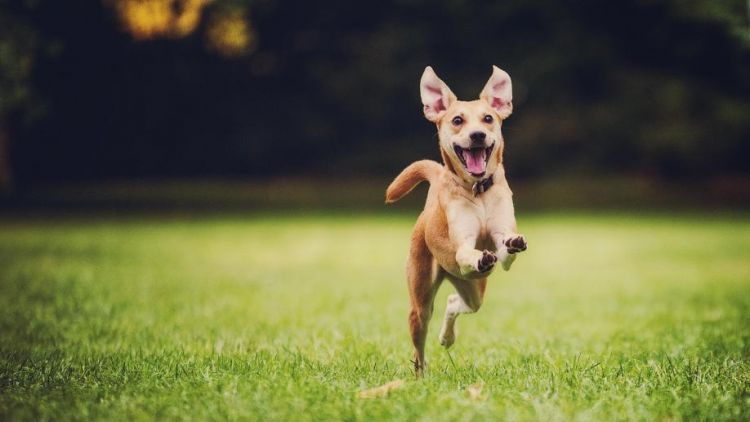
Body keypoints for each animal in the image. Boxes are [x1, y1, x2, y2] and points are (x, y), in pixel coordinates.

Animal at [388, 66, 528, 376]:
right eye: (456, 120)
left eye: (488, 118)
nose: (477, 135)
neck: (479, 191)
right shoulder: (462, 246)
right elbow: (466, 251)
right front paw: (479, 256)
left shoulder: (502, 241)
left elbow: (506, 248)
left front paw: (511, 244)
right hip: (421, 299)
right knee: (419, 346)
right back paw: (420, 376)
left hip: (473, 289)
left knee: (456, 302)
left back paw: (447, 337)